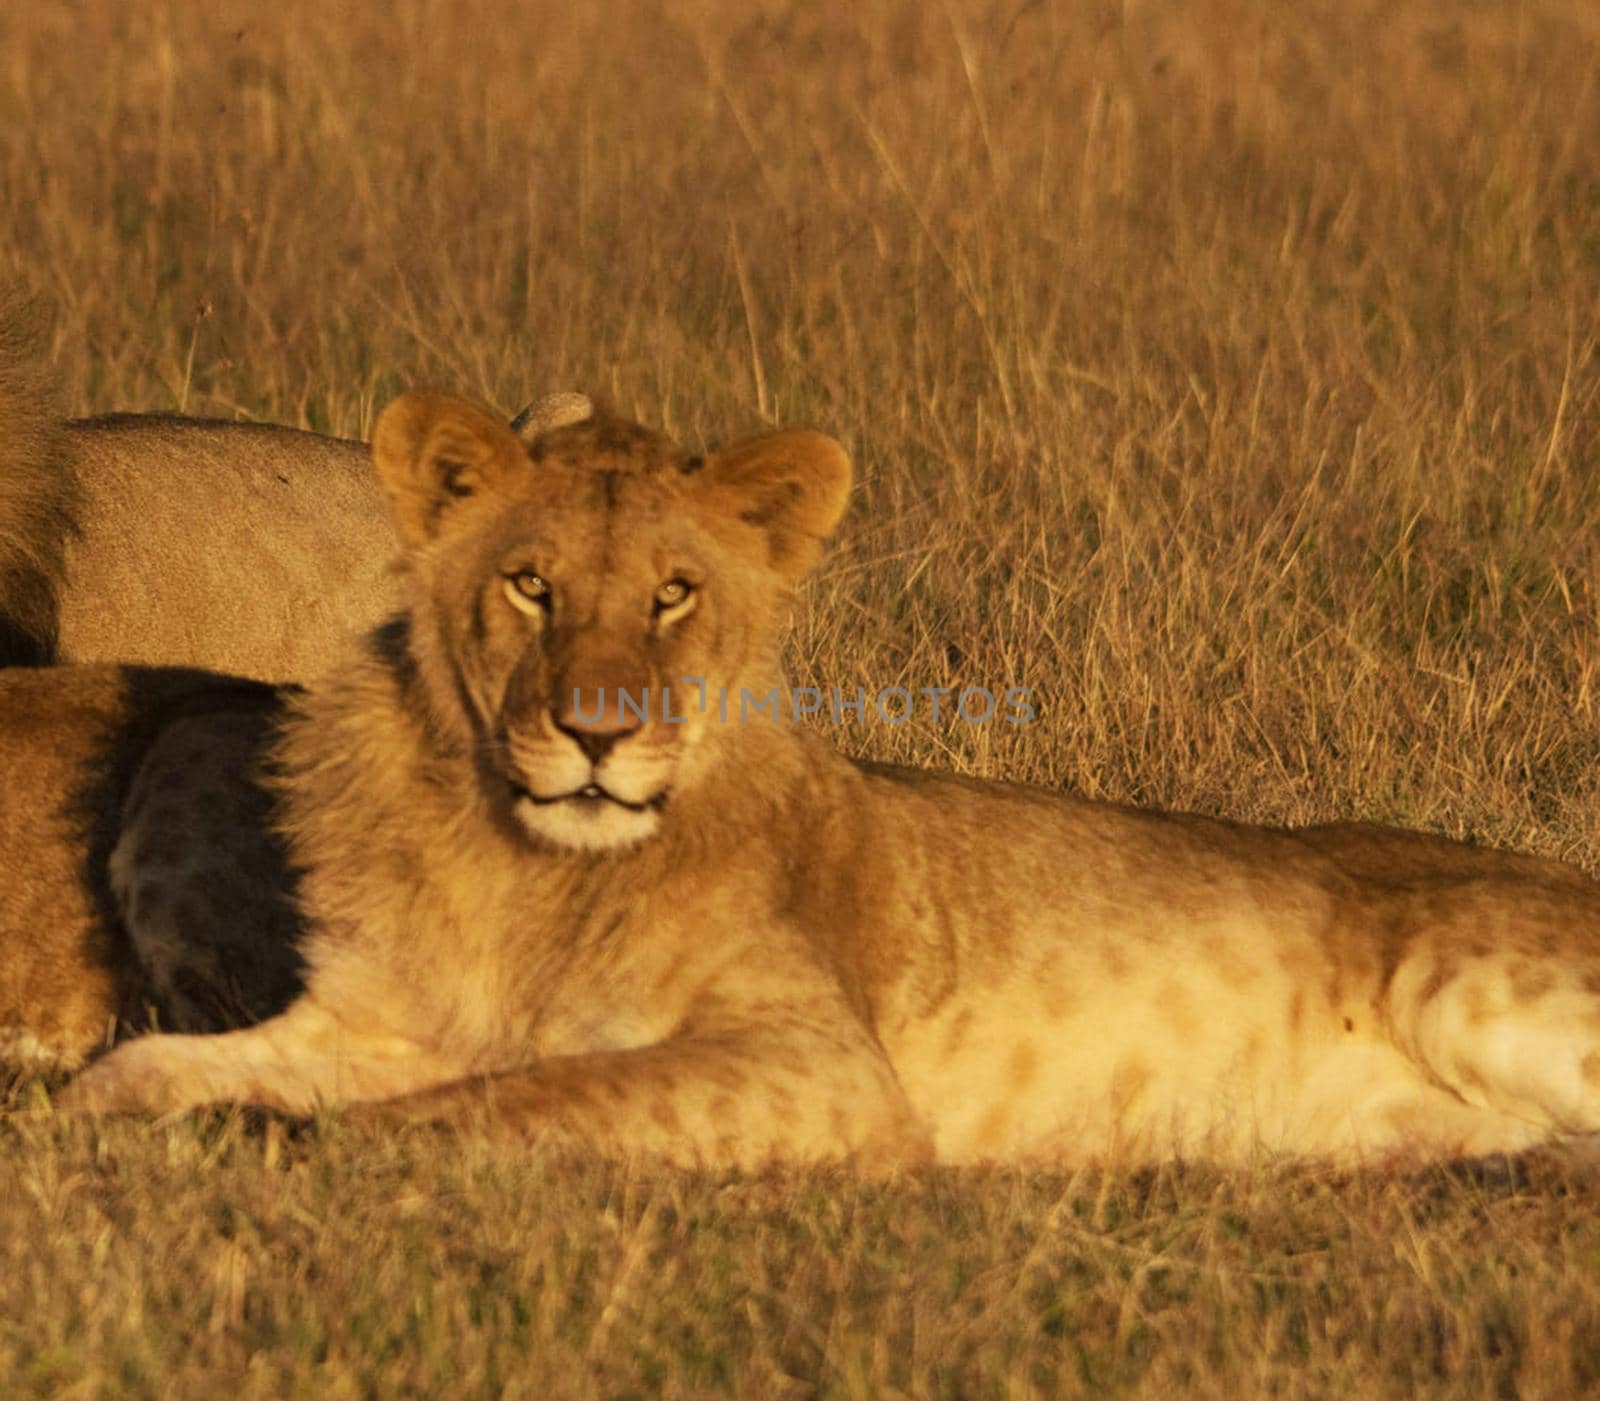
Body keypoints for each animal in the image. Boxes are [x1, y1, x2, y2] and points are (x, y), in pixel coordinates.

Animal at [25, 393, 1600, 1170]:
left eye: (673, 594)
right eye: (532, 586)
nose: (597, 735)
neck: (517, 866)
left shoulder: (824, 1070)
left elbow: (507, 1101)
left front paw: (280, 1138)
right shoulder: (363, 1016)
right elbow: (135, 1069)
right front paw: (112, 1114)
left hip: (1471, 988)